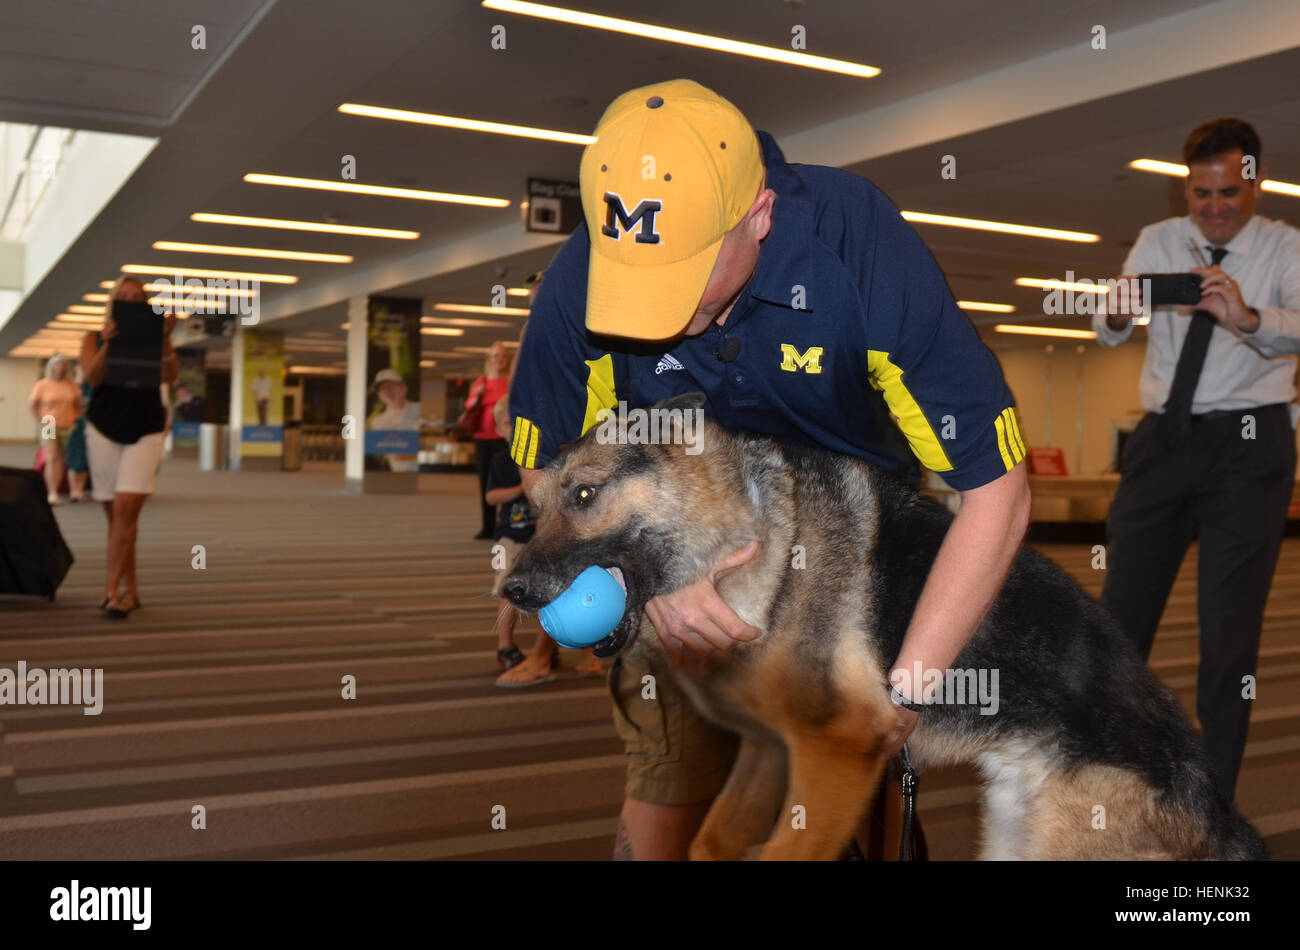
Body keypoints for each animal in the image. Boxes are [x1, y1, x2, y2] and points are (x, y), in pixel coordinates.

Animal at [501, 395, 1263, 862]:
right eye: (532, 511)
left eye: (586, 495)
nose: (511, 589)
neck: (759, 539)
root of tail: (1218, 809)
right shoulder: (770, 750)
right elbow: (711, 842)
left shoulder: (840, 752)